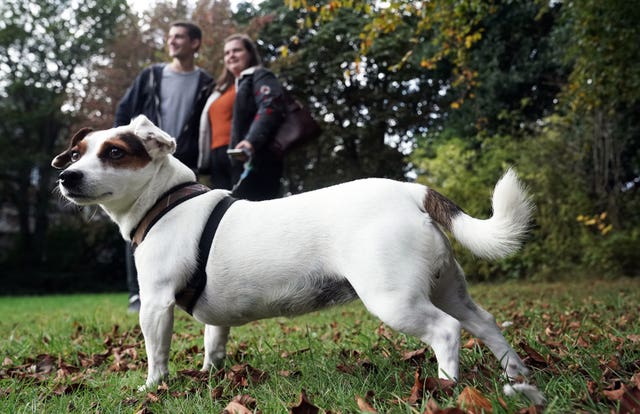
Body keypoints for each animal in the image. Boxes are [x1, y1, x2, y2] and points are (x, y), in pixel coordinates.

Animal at [52, 115, 544, 402]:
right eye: (77, 154)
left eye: (115, 153)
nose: (66, 176)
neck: (166, 201)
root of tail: (410, 190)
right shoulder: (216, 317)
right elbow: (214, 346)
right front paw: (210, 376)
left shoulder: (155, 305)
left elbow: (156, 355)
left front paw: (152, 388)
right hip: (449, 289)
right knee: (485, 324)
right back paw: (516, 374)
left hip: (395, 300)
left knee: (447, 331)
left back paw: (445, 386)